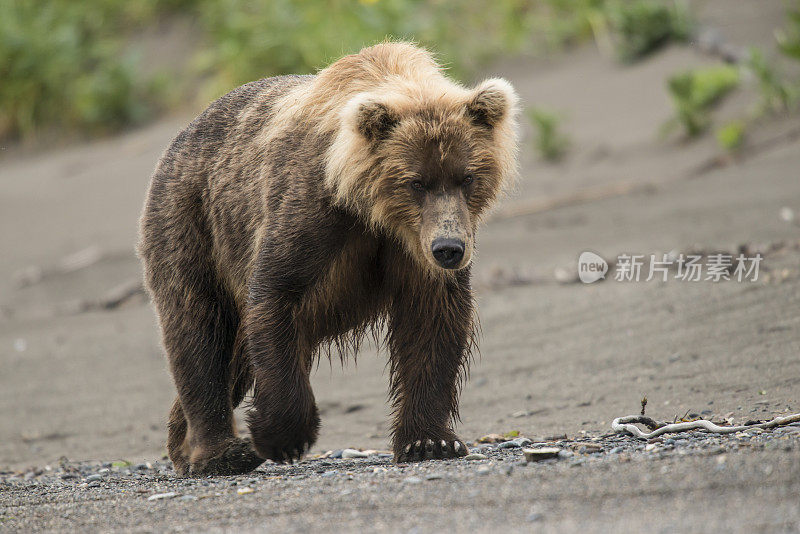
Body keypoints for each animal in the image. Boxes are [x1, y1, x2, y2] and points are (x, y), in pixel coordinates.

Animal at [138, 42, 520, 478]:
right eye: (415, 182)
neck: (372, 211)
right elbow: (275, 295)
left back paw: (183, 443)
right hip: (191, 222)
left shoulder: (414, 251)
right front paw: (282, 436)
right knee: (199, 331)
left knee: (233, 356)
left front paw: (430, 441)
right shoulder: (311, 211)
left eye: (468, 177)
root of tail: (180, 137)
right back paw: (219, 452)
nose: (449, 248)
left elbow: (432, 322)